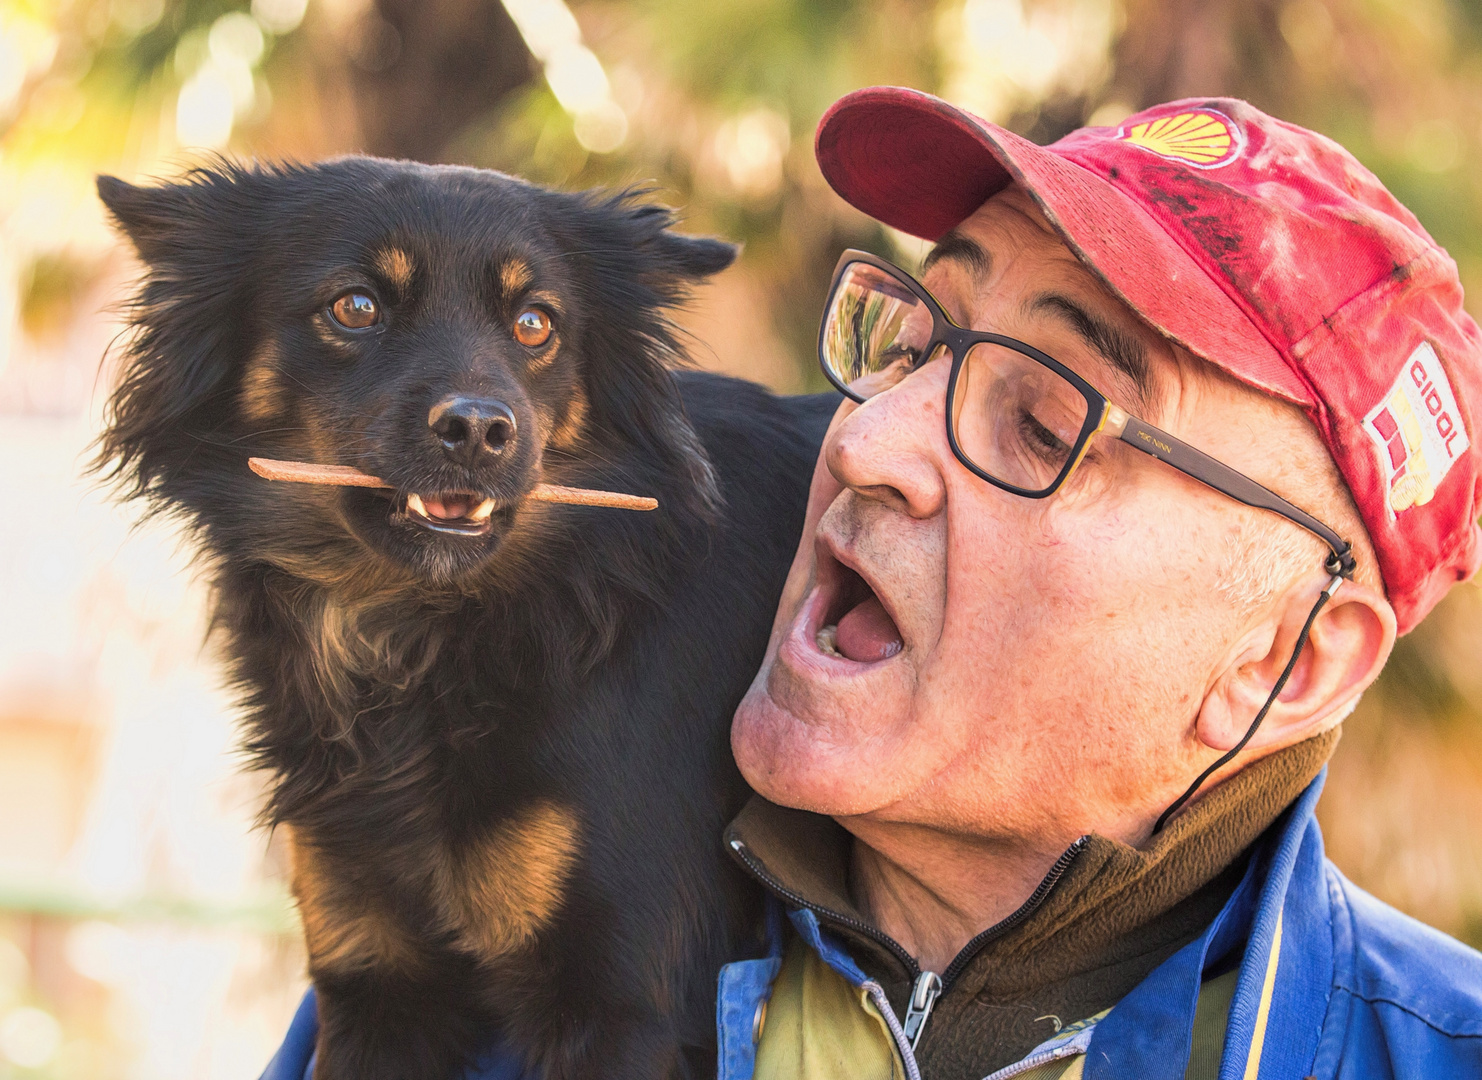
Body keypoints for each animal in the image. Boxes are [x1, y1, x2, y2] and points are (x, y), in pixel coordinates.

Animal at [95, 160, 835, 1078]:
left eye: (535, 323)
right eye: (355, 306)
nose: (480, 430)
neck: (419, 631)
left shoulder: (629, 1002)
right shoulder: (376, 982)